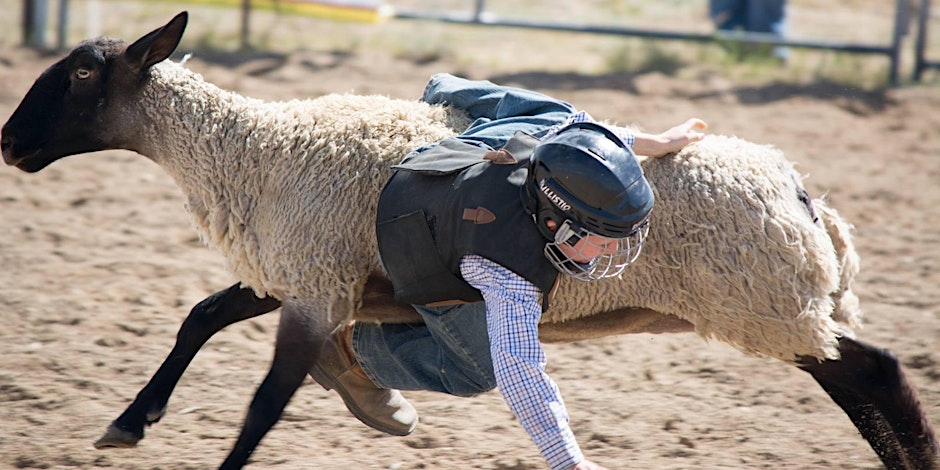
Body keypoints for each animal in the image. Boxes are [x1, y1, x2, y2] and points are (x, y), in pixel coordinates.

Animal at [0, 10, 936, 470]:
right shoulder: (307, 274)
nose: (9, 142)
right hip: (779, 306)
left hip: (767, 305)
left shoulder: (314, 280)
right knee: (863, 376)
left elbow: (264, 402)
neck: (252, 149)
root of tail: (803, 193)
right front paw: (129, 423)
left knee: (877, 374)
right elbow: (199, 316)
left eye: (79, 73)